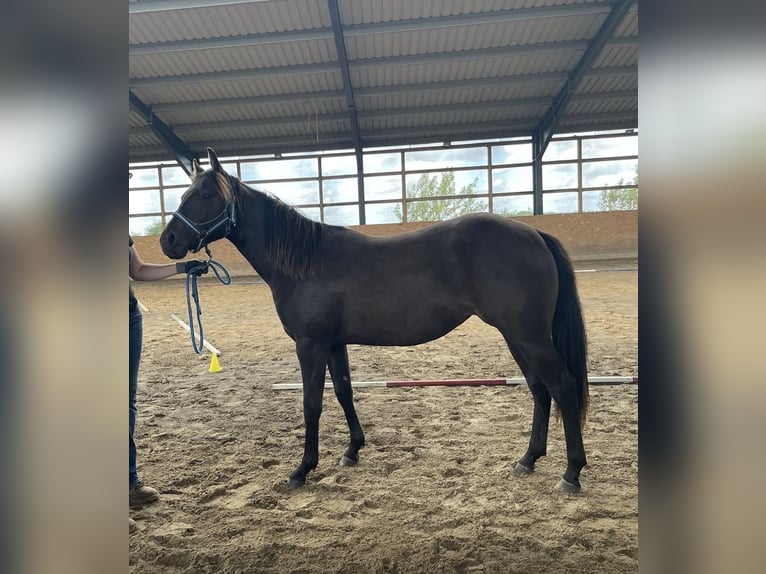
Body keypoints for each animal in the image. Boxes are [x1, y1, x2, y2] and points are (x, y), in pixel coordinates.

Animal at [160, 148, 589, 493]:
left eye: (205, 195)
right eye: (184, 193)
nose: (168, 241)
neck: (306, 263)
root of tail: (533, 232)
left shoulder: (310, 345)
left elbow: (312, 404)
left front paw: (302, 470)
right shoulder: (334, 343)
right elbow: (344, 392)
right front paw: (352, 451)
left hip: (529, 336)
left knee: (563, 386)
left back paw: (571, 473)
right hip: (516, 336)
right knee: (539, 389)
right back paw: (528, 459)